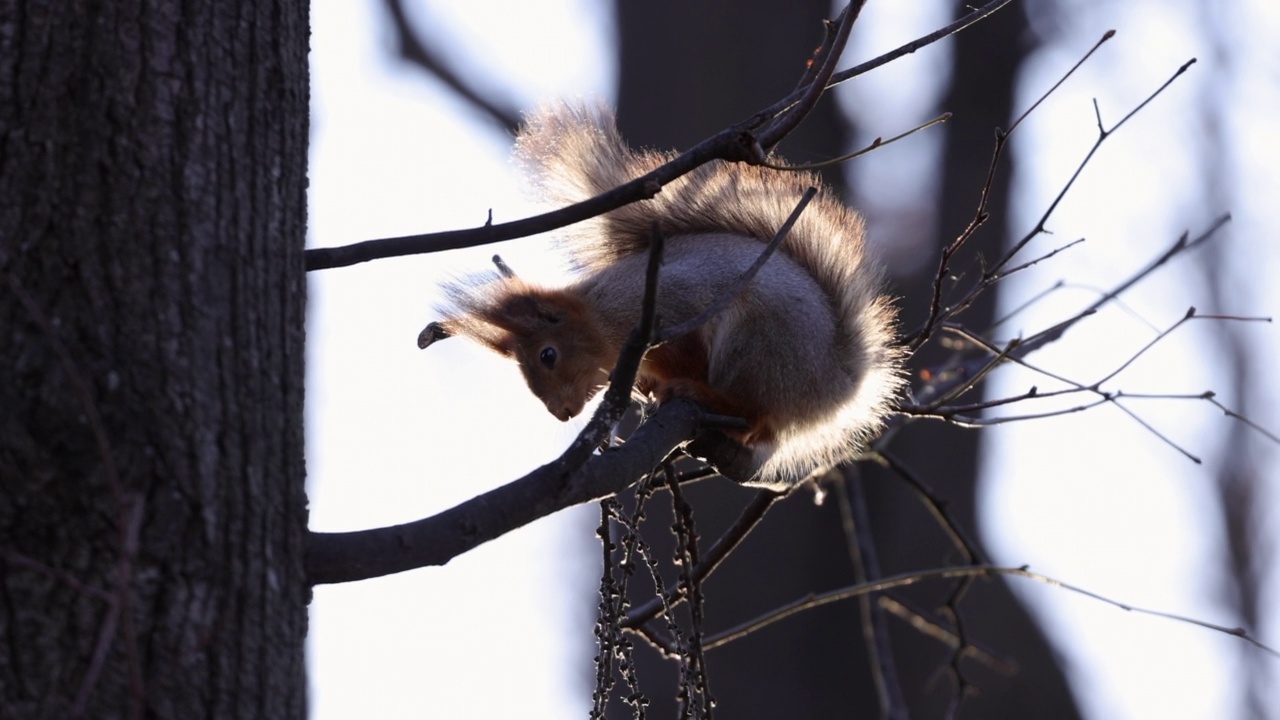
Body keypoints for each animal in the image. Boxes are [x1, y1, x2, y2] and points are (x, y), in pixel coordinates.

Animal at [417, 102, 901, 486]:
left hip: (757, 345)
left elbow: (689, 352)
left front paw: (670, 384)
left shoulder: (674, 308)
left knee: (752, 413)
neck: (603, 318)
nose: (561, 413)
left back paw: (701, 393)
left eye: (547, 355)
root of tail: (836, 386)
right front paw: (649, 387)